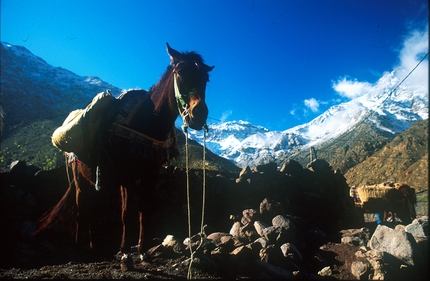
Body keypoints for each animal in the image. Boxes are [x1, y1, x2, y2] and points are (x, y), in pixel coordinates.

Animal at [36, 42, 214, 260]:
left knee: (91, 211)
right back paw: (79, 248)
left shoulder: (150, 175)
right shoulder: (127, 178)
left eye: (205, 79)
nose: (199, 114)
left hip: (95, 181)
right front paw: (123, 251)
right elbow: (126, 213)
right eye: (180, 72)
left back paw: (92, 246)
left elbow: (144, 210)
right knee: (80, 211)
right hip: (79, 180)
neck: (147, 123)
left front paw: (142, 250)